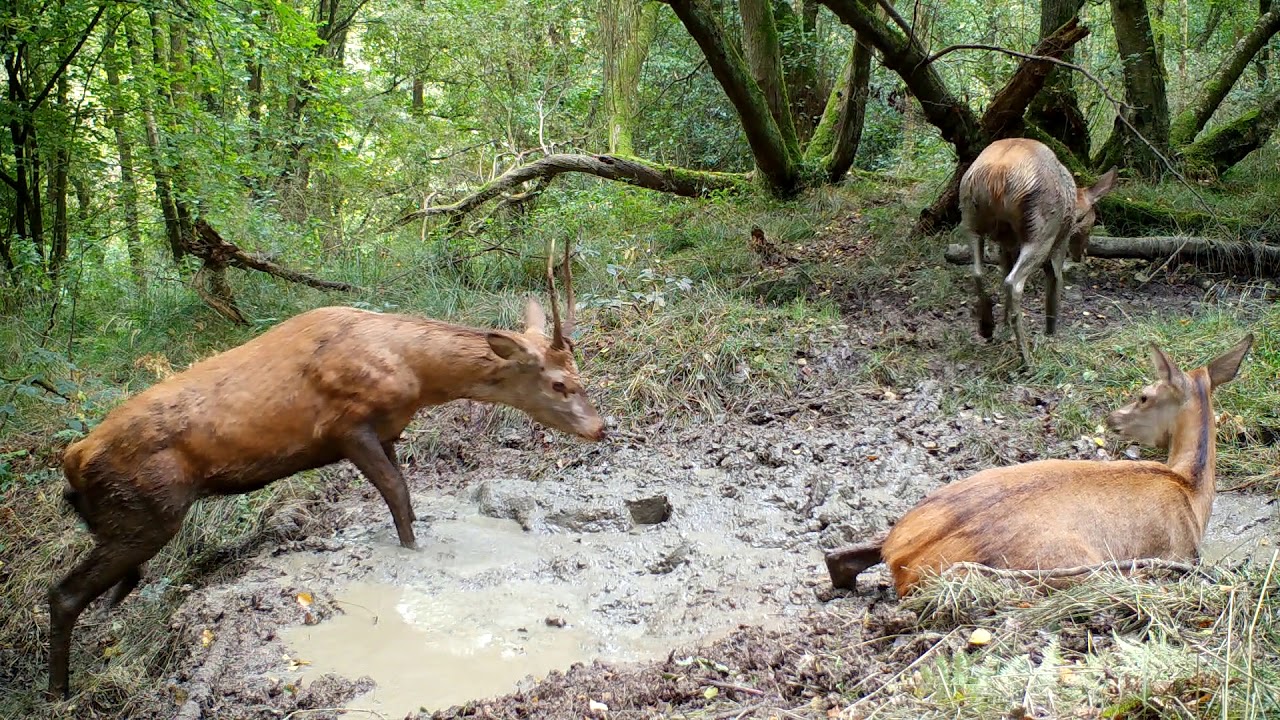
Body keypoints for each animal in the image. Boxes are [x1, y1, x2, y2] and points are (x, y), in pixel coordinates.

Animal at [47, 240, 604, 699]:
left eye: (580, 373)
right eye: (558, 384)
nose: (601, 427)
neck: (416, 373)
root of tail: (72, 462)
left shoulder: (387, 431)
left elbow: (404, 495)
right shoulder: (346, 426)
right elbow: (396, 492)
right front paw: (414, 554)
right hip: (145, 509)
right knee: (64, 593)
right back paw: (58, 690)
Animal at [825, 334, 1253, 597]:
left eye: (1144, 395)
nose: (1112, 418)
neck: (1192, 492)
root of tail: (905, 561)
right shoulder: (1182, 554)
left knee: (838, 557)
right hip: (1063, 569)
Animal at [960, 138, 1118, 364]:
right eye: (1091, 219)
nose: (1082, 253)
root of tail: (997, 173)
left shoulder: (1006, 246)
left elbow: (1002, 272)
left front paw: (1004, 326)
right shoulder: (1059, 245)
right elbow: (1055, 282)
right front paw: (1051, 333)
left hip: (970, 218)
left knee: (979, 273)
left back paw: (987, 327)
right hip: (1042, 231)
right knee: (1013, 282)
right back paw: (1026, 357)